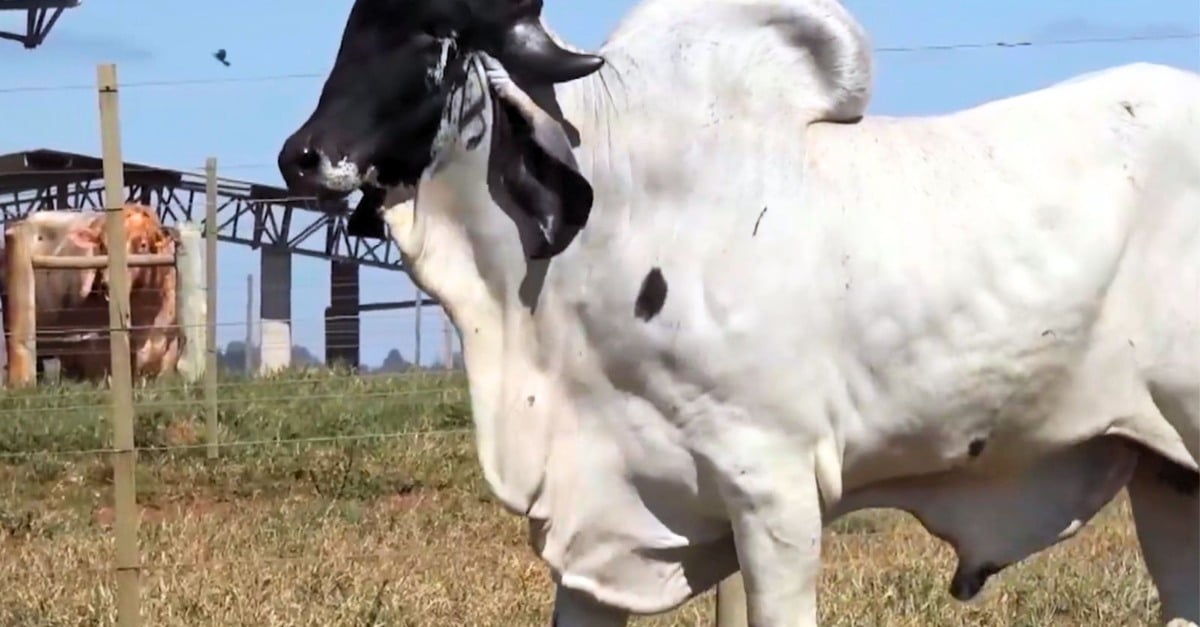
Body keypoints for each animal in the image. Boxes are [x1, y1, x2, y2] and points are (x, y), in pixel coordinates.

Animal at [276, 0, 1200, 625]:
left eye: (429, 39)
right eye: (351, 29)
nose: (301, 156)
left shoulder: (775, 490)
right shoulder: (596, 514)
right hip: (1165, 475)